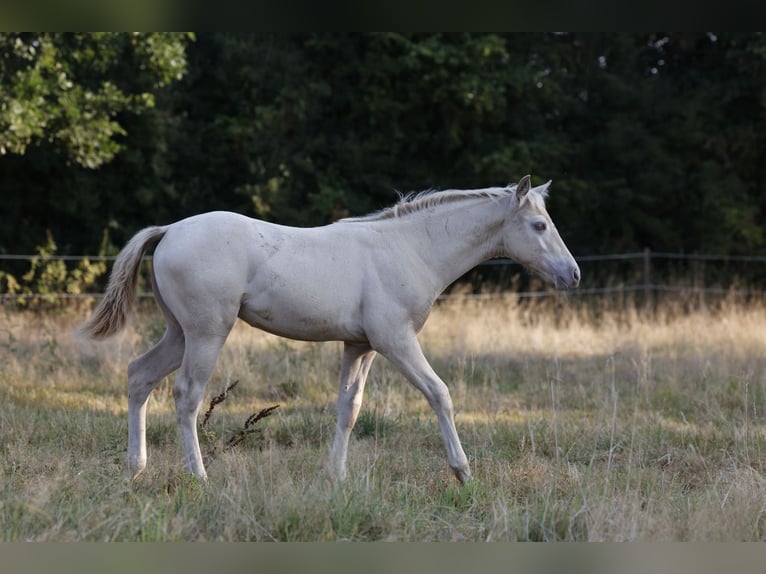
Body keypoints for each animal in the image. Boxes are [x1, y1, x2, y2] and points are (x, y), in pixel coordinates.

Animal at [79, 174, 580, 484]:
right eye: (539, 225)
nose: (572, 274)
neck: (409, 248)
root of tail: (169, 230)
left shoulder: (360, 346)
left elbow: (348, 409)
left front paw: (335, 476)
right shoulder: (396, 340)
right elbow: (440, 393)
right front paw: (462, 471)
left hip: (179, 333)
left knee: (139, 376)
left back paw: (135, 468)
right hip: (206, 333)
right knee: (186, 395)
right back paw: (198, 476)